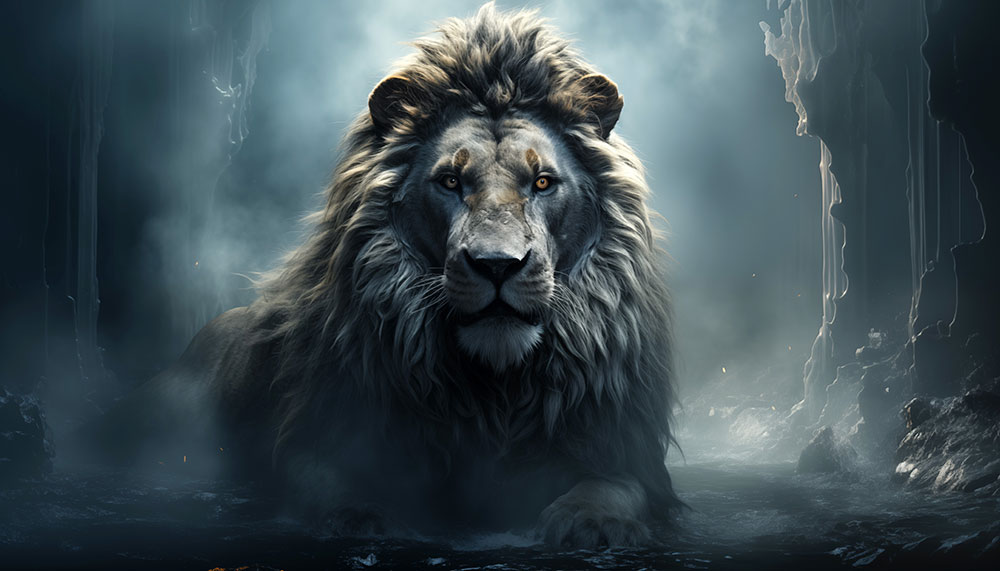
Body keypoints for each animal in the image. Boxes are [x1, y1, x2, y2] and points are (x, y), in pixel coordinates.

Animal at [96, 3, 681, 548]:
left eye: (541, 182)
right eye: (450, 181)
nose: (496, 265)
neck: (493, 389)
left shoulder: (625, 452)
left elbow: (614, 486)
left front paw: (591, 522)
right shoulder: (320, 433)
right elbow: (324, 481)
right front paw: (364, 517)